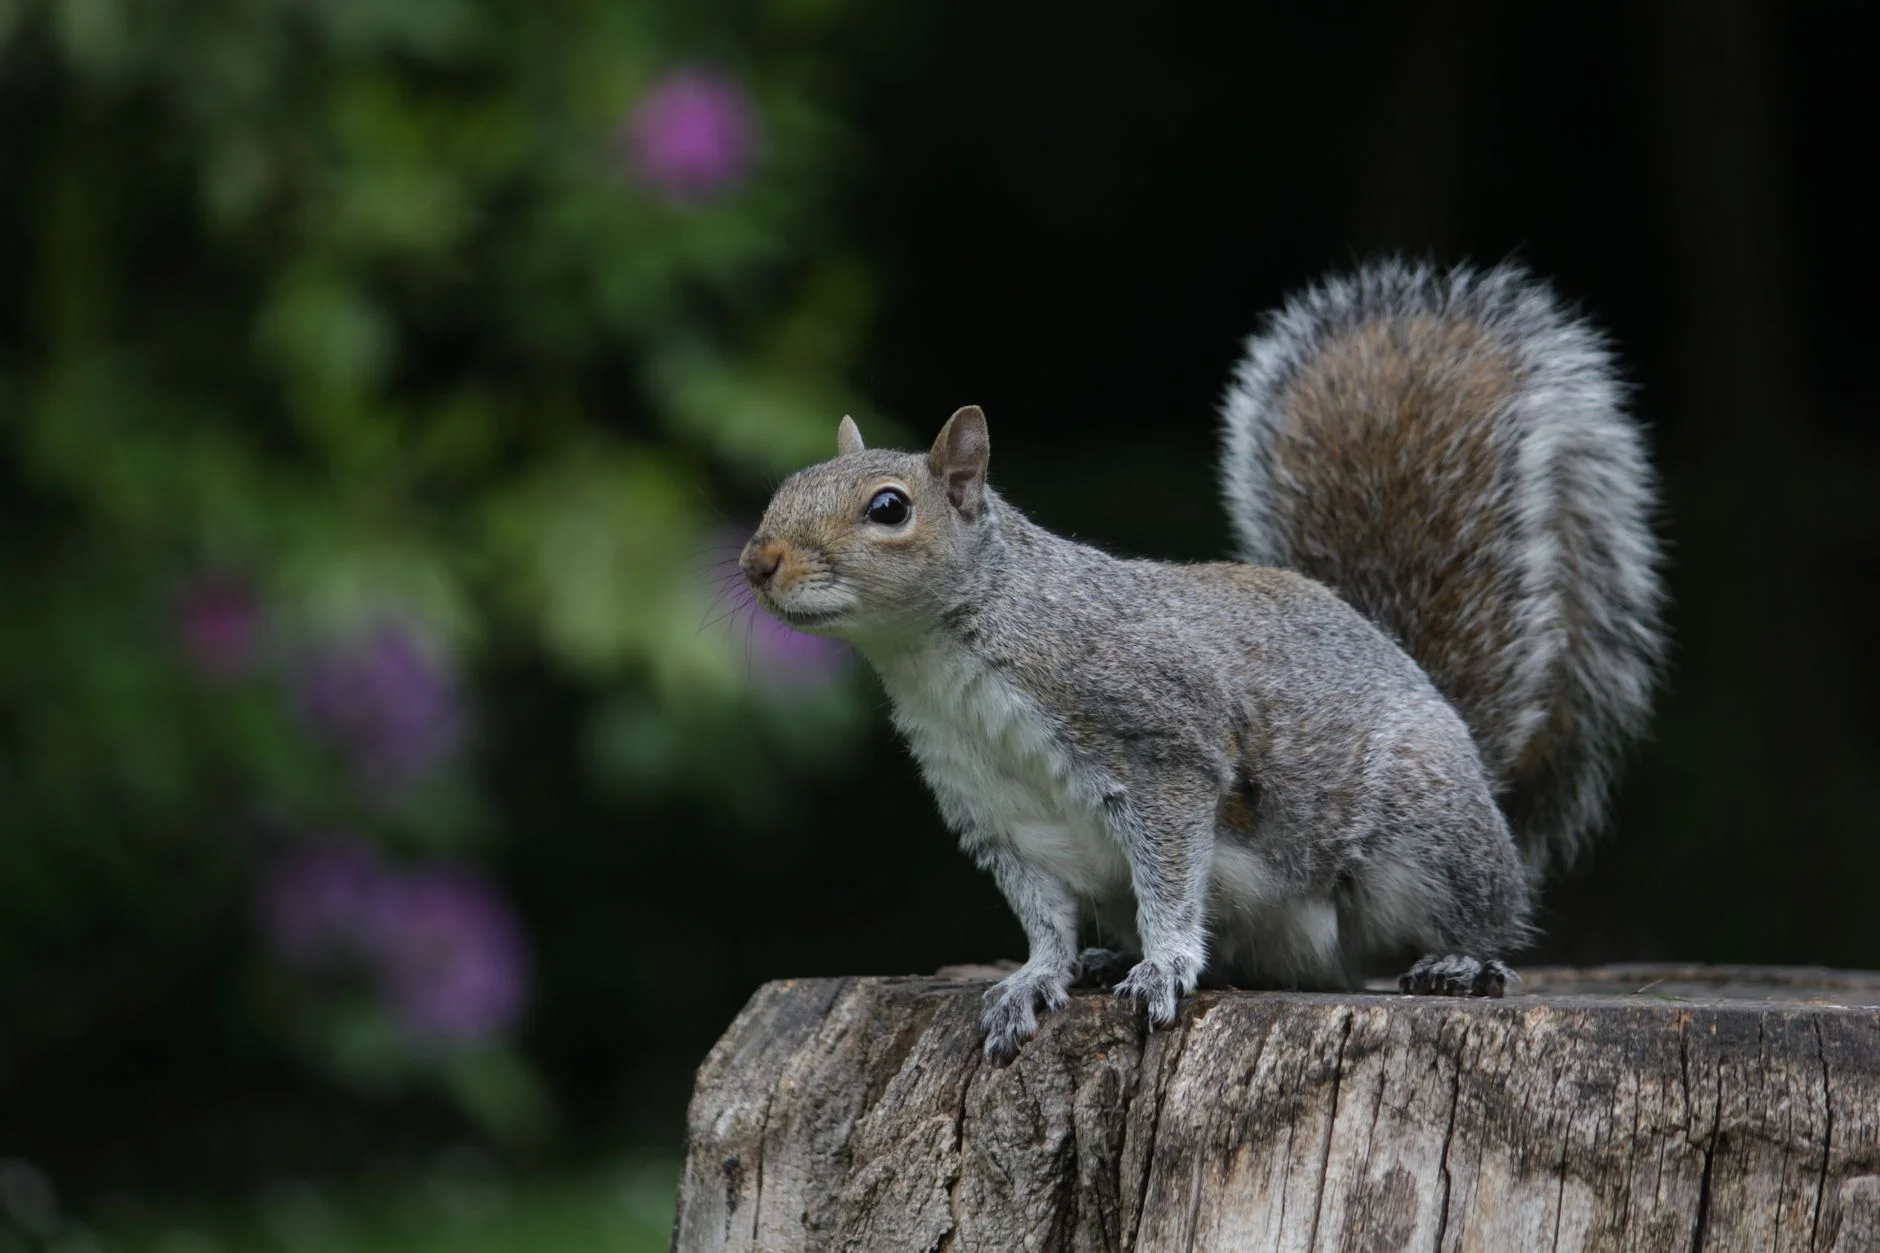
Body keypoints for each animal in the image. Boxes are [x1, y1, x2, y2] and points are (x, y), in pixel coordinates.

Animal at [740, 259, 1665, 1066]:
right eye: (787, 482)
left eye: (888, 508)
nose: (758, 560)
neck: (940, 655)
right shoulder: (996, 811)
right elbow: (1044, 918)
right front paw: (1036, 978)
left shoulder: (1161, 747)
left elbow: (1172, 875)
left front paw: (1165, 962)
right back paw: (1107, 959)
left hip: (1424, 829)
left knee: (1479, 911)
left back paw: (1461, 962)